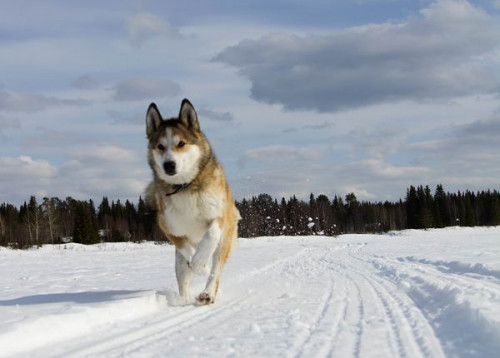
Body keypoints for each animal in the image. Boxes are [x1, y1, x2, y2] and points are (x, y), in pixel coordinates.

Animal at [145, 98, 240, 304]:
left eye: (181, 143)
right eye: (160, 146)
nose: (169, 165)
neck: (185, 186)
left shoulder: (219, 214)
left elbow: (211, 234)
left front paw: (200, 262)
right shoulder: (170, 228)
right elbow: (186, 248)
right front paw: (199, 265)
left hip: (224, 242)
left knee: (215, 272)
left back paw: (207, 293)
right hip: (178, 262)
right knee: (184, 280)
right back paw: (184, 297)